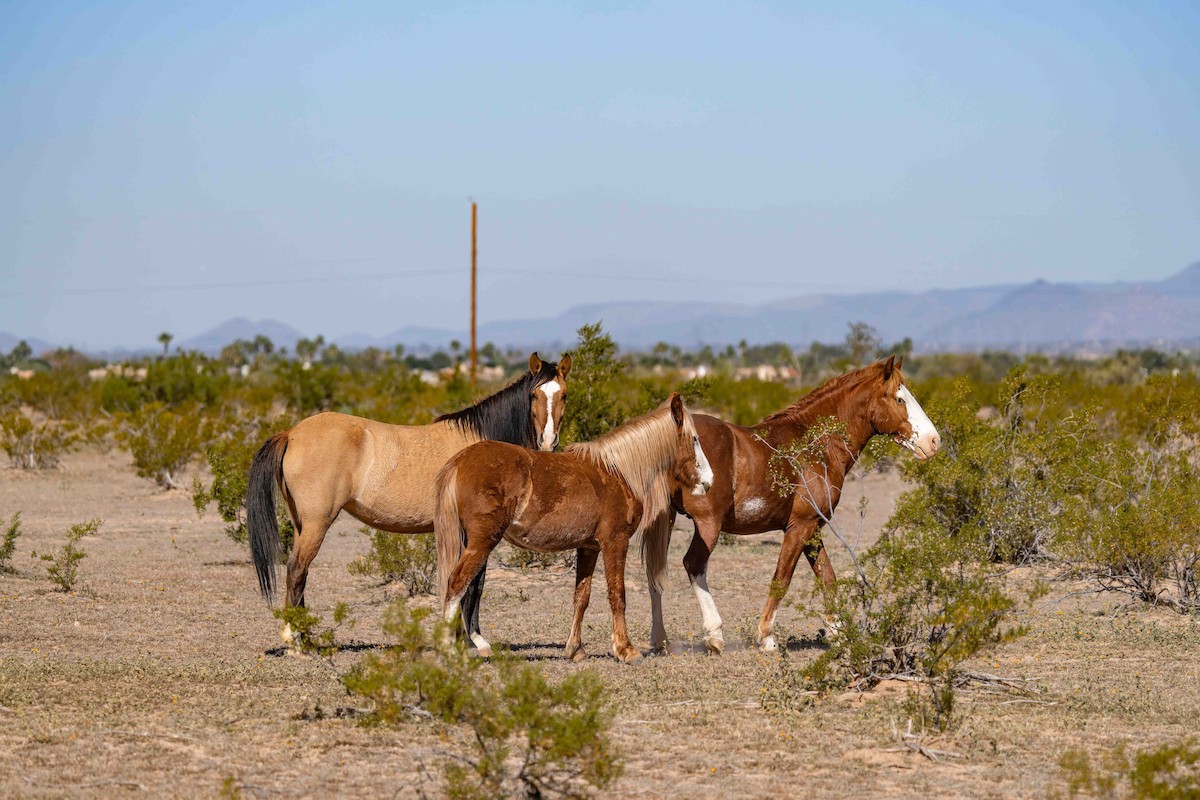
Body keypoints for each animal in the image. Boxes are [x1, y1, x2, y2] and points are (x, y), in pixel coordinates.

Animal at [247, 352, 572, 653]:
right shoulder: (477, 532)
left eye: (564, 394)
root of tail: (291, 434)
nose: (547, 441)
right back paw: (296, 643)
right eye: (533, 395)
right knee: (296, 570)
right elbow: (473, 583)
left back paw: (307, 638)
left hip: (302, 524)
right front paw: (474, 641)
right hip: (317, 523)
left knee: (300, 573)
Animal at [435, 393, 714, 662]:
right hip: (482, 543)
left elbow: (582, 597)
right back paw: (450, 650)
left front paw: (575, 650)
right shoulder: (615, 542)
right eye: (694, 439)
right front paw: (626, 650)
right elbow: (617, 595)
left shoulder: (589, 548)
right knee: (456, 585)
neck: (617, 472)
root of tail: (459, 461)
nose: (708, 481)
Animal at [643, 356, 940, 653]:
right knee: (694, 565)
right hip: (708, 524)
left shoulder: (813, 529)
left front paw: (839, 633)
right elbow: (781, 579)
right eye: (899, 398)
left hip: (667, 520)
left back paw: (659, 639)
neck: (815, 445)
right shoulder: (799, 527)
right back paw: (714, 635)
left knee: (655, 572)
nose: (933, 441)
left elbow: (827, 577)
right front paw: (767, 636)